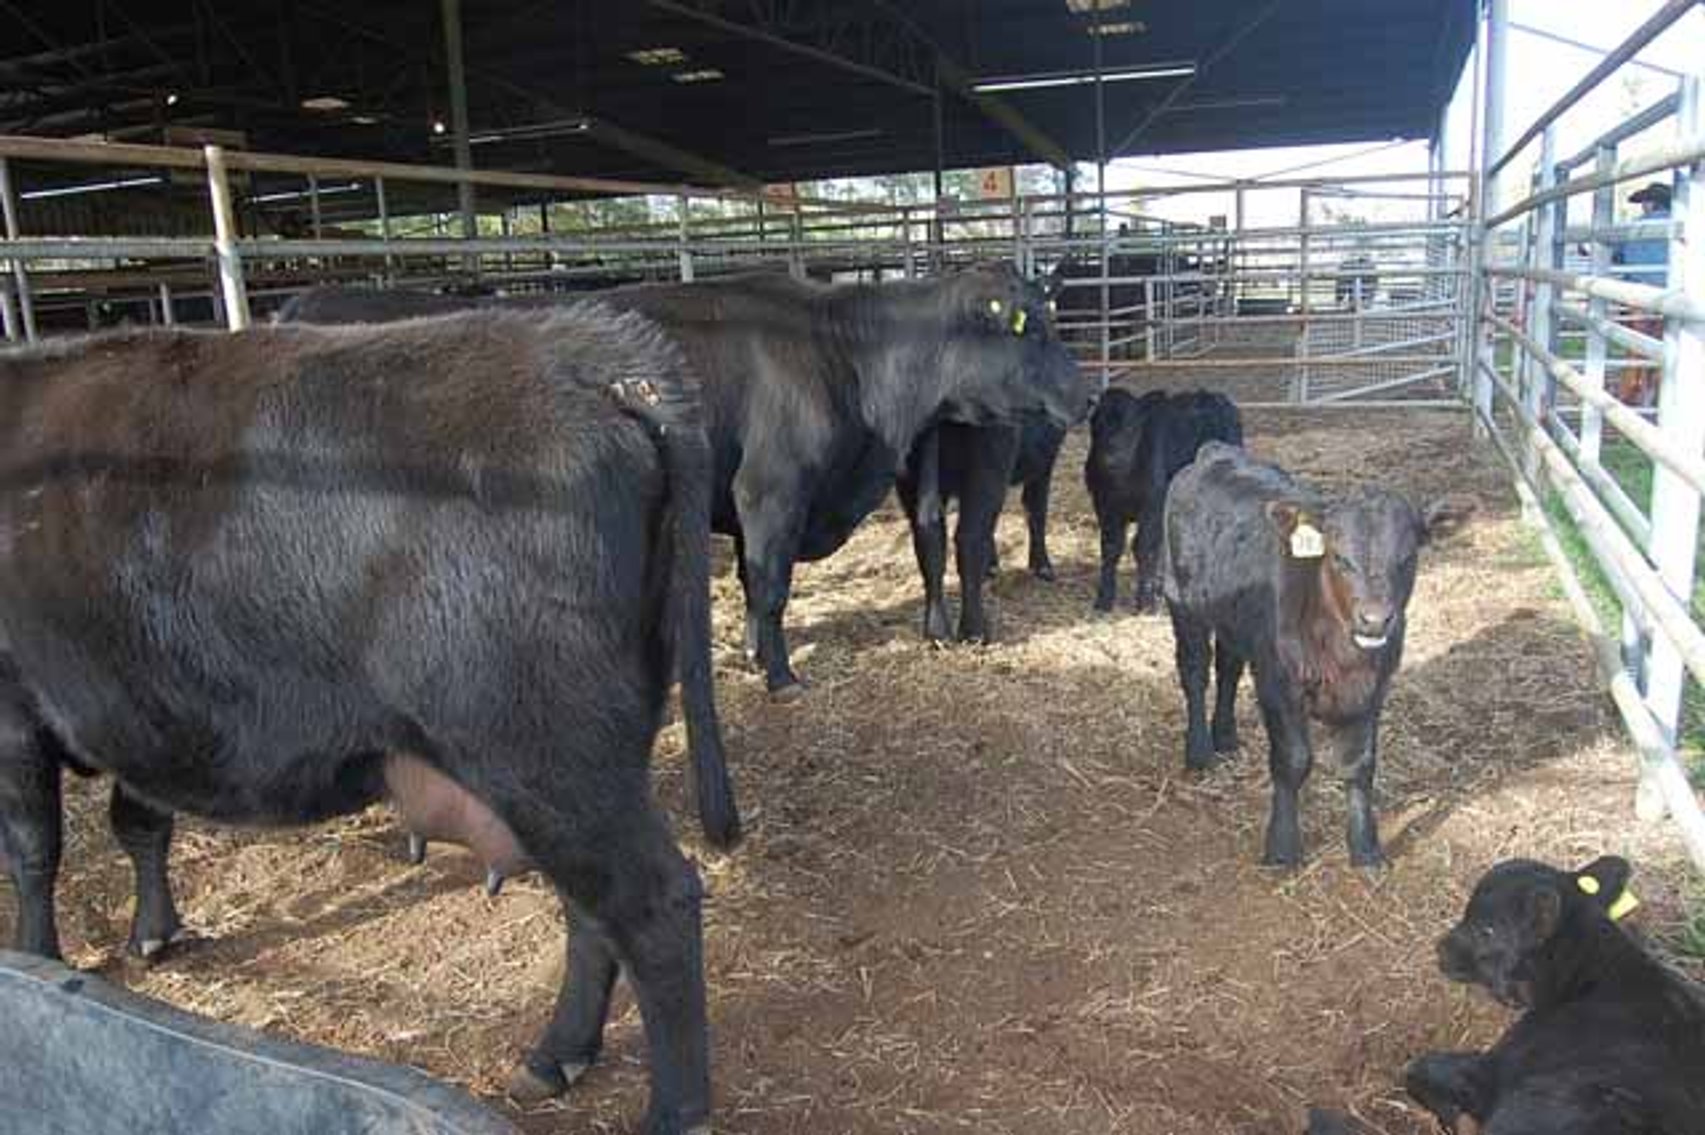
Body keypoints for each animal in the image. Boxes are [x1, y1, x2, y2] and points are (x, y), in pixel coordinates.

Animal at [0, 305, 737, 1133]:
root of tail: (588, 345)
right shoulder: (141, 703)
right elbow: (139, 820)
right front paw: (152, 932)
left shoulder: (14, 701)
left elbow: (33, 845)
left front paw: (35, 960)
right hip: (584, 761)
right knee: (593, 907)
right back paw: (554, 1055)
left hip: (547, 754)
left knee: (652, 903)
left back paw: (670, 1109)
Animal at [895, 412, 1067, 643]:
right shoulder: (1045, 456)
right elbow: (1036, 507)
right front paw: (1042, 567)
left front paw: (992, 566)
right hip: (989, 459)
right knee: (969, 536)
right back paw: (975, 632)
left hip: (910, 469)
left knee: (929, 534)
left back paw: (937, 632)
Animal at [1086, 388, 1243, 615]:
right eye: (1097, 424)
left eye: (1133, 427)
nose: (1111, 458)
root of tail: (1211, 396)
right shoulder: (1104, 505)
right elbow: (1111, 547)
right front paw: (1103, 600)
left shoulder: (1152, 506)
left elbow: (1143, 547)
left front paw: (1145, 601)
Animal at [1161, 443, 1470, 866]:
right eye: (1339, 557)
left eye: (1407, 558)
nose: (1375, 620)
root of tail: (1215, 453)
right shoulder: (1279, 682)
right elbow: (1293, 761)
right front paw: (1282, 848)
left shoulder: (1375, 688)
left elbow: (1360, 764)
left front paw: (1365, 848)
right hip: (1182, 600)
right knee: (1194, 671)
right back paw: (1199, 751)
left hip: (1234, 620)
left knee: (1228, 667)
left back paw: (1225, 735)